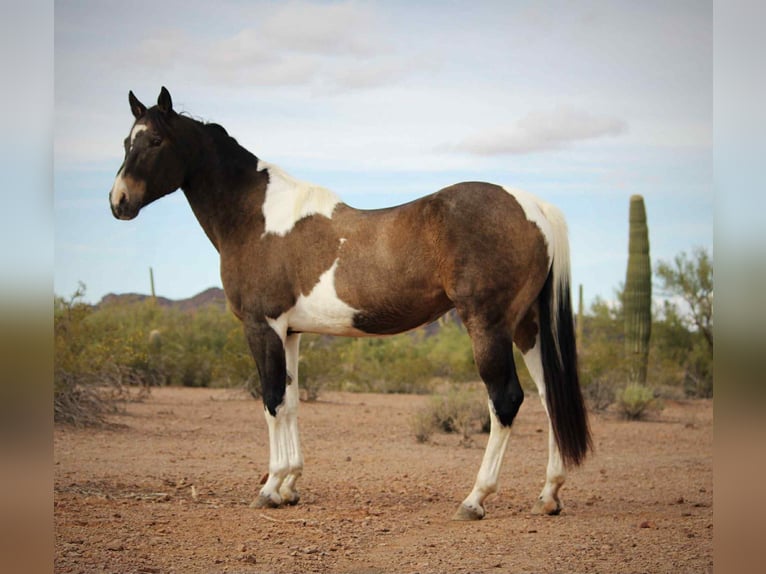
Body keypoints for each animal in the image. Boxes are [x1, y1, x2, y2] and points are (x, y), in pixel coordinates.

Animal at [109, 87, 592, 520]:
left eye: (155, 141)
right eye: (126, 141)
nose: (118, 202)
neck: (257, 217)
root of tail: (533, 206)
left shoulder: (261, 326)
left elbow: (271, 400)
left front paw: (269, 489)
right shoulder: (290, 332)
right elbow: (291, 400)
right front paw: (289, 486)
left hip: (487, 326)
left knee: (505, 401)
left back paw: (475, 500)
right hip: (527, 327)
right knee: (549, 396)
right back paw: (549, 496)